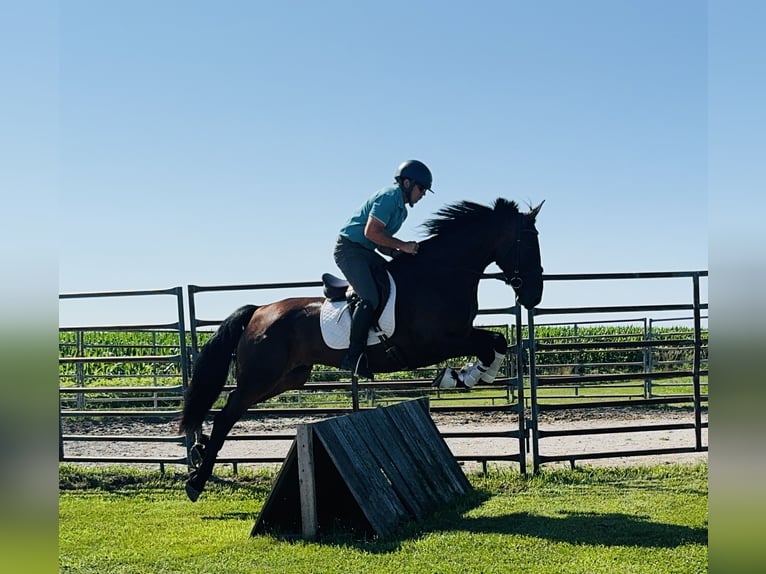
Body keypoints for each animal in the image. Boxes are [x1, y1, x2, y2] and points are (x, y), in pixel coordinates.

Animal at [178, 199, 544, 504]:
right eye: (529, 244)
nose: (534, 296)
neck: (440, 274)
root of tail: (258, 311)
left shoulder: (460, 335)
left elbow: (496, 342)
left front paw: (470, 375)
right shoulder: (436, 344)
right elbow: (489, 344)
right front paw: (459, 376)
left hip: (287, 378)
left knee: (231, 410)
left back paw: (198, 455)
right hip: (261, 376)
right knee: (227, 413)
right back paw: (196, 479)